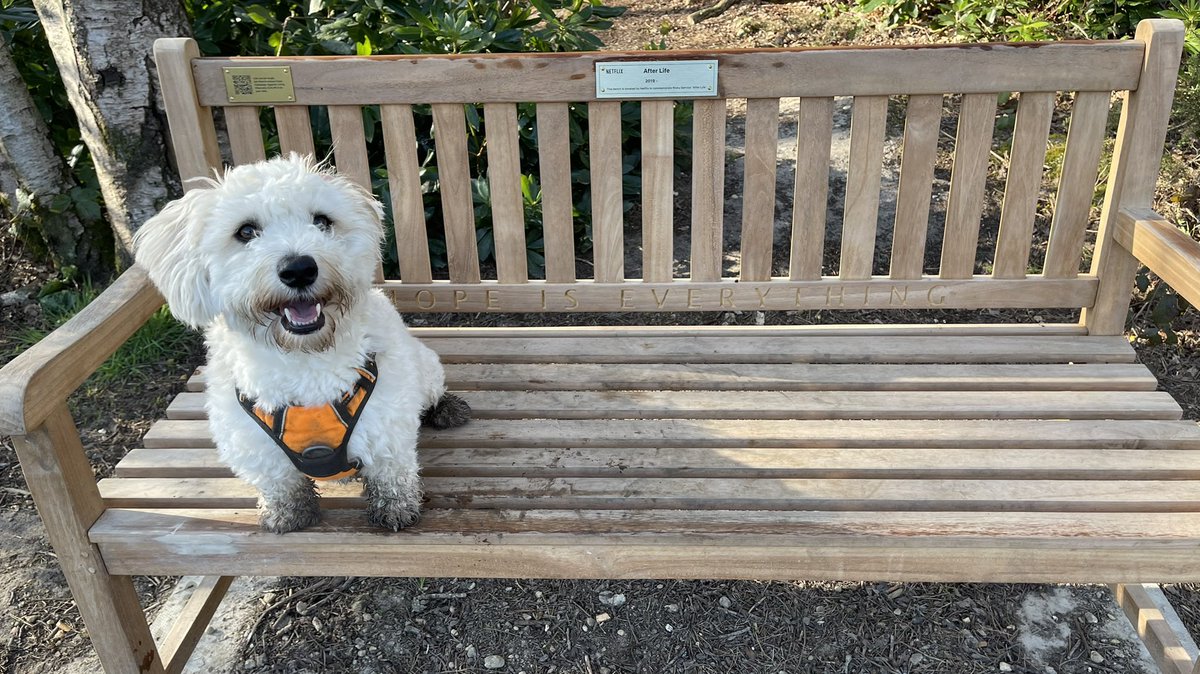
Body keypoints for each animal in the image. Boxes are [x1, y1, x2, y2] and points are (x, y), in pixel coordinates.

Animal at [133, 152, 465, 530]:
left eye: (322, 221)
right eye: (245, 231)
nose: (299, 269)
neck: (304, 361)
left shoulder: (387, 426)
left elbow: (391, 473)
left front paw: (395, 507)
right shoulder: (256, 448)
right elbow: (281, 483)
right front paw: (288, 512)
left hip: (425, 368)